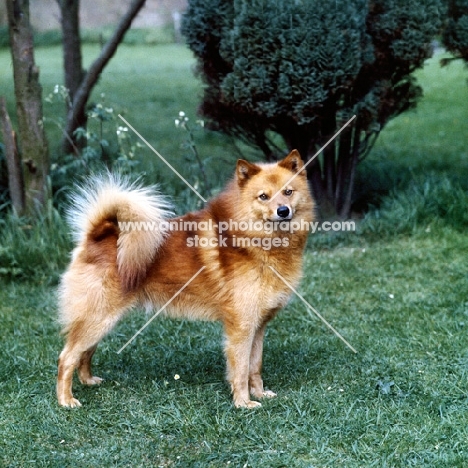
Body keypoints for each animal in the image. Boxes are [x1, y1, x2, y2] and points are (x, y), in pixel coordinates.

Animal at [57, 151, 314, 410]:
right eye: (263, 196)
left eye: (288, 192)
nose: (283, 210)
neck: (254, 241)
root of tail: (96, 235)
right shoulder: (241, 328)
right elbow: (240, 370)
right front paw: (243, 403)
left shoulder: (258, 326)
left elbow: (255, 366)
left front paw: (259, 394)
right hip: (98, 317)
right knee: (67, 357)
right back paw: (66, 400)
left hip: (101, 320)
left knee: (85, 353)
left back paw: (88, 381)